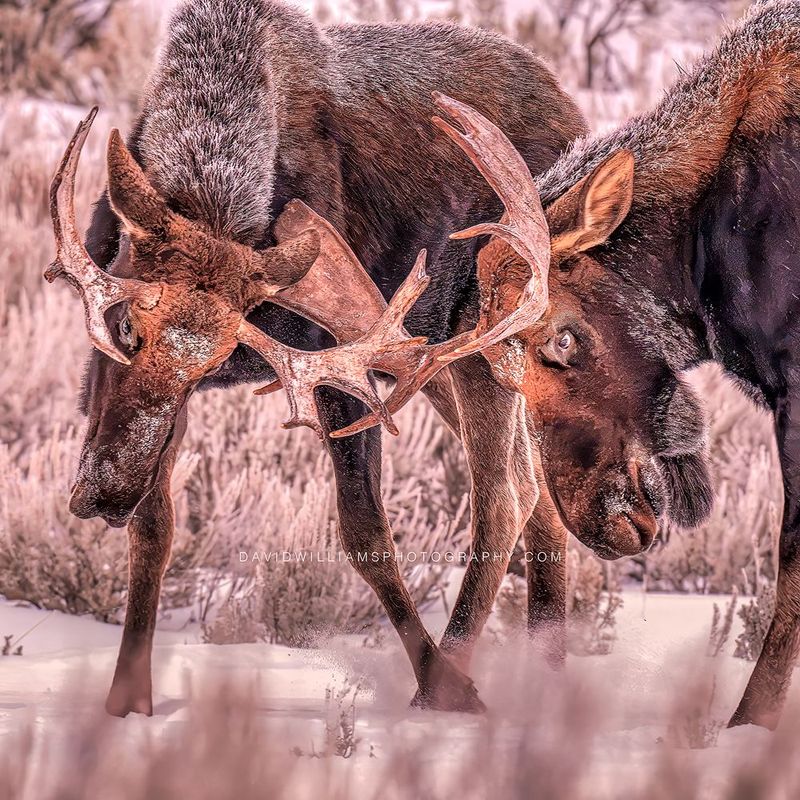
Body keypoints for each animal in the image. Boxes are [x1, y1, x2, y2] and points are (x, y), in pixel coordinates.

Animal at [45, 0, 588, 716]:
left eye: (213, 357)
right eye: (124, 326)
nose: (102, 495)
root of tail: (573, 113)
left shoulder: (334, 368)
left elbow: (365, 535)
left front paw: (441, 684)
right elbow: (155, 529)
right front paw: (128, 703)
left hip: (486, 336)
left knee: (504, 496)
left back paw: (457, 683)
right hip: (435, 364)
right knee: (539, 495)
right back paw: (546, 682)